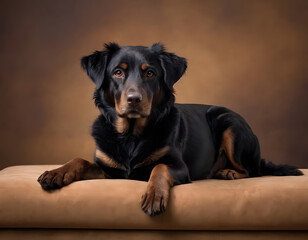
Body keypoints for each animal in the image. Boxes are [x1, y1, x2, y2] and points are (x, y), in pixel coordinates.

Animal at [36, 42, 304, 216]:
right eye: (118, 72)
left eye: (150, 73)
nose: (134, 99)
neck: (131, 135)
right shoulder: (110, 170)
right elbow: (79, 160)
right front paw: (57, 172)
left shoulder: (179, 167)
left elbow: (160, 167)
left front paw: (154, 195)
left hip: (228, 122)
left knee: (252, 170)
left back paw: (229, 172)